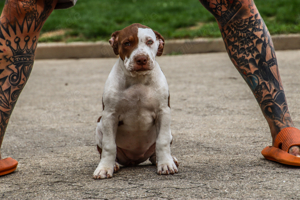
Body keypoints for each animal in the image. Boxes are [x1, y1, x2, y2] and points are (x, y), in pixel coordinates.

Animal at [93, 23, 178, 180]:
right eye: (127, 43)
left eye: (150, 41)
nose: (141, 59)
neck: (138, 79)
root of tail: (134, 160)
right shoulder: (109, 115)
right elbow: (109, 146)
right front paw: (104, 168)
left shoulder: (163, 112)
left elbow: (162, 142)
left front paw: (166, 164)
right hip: (99, 125)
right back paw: (113, 164)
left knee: (156, 151)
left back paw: (164, 160)